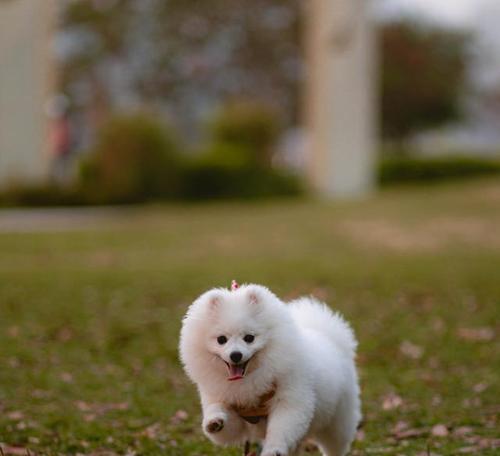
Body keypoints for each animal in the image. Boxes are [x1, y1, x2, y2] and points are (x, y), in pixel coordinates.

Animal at [178, 284, 362, 454]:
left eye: (249, 338)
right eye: (221, 339)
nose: (236, 355)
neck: (250, 377)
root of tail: (331, 338)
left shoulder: (291, 399)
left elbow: (281, 428)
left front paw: (273, 449)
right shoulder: (228, 407)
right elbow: (219, 413)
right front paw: (213, 421)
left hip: (338, 421)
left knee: (335, 445)